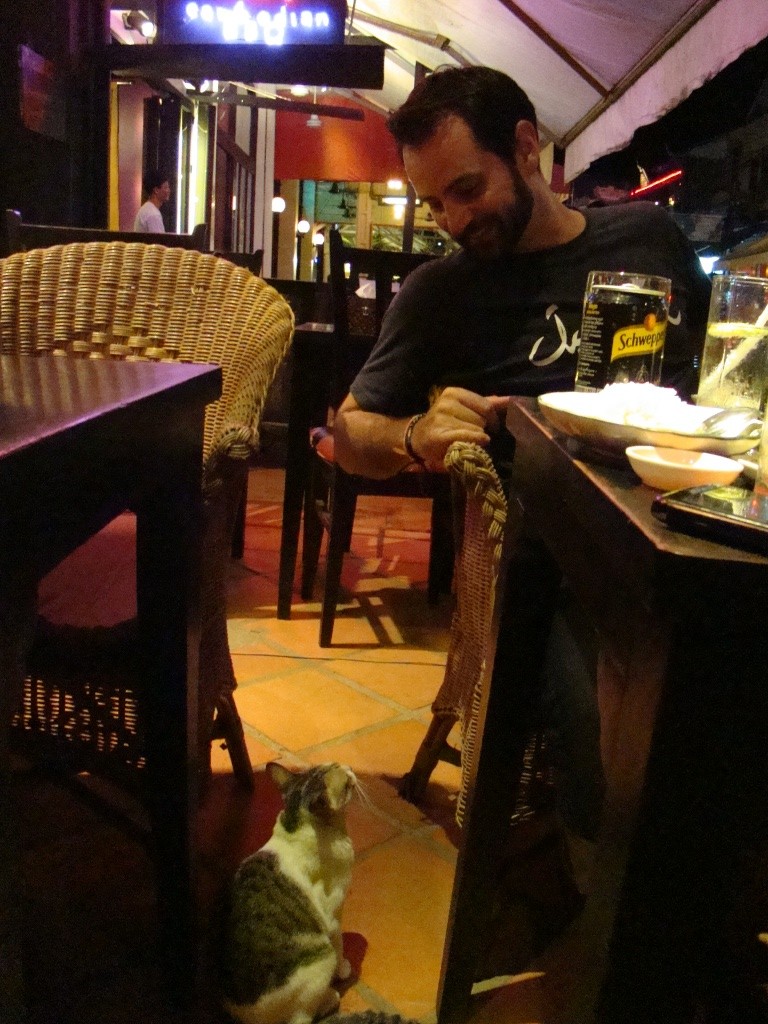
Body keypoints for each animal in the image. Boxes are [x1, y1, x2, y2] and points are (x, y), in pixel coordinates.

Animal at [218, 762, 357, 1024]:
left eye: (330, 764)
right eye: (346, 783)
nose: (348, 767)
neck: (299, 824)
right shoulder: (334, 916)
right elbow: (340, 943)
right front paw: (344, 967)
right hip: (321, 959)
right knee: (305, 1015)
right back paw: (331, 997)